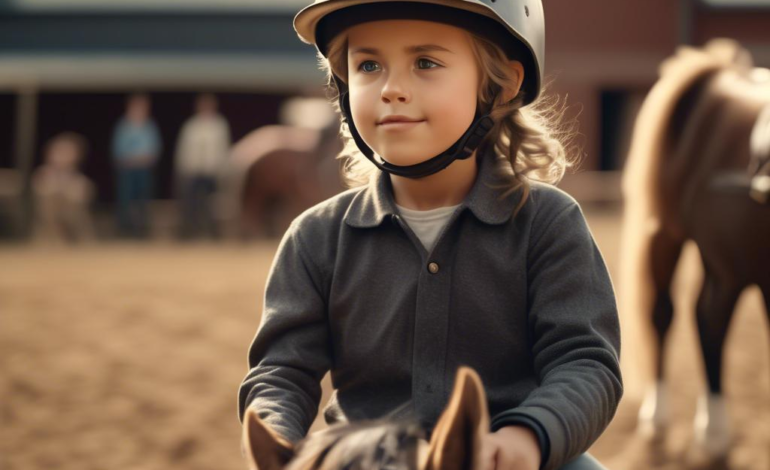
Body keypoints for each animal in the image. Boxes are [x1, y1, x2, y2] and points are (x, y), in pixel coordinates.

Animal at [616, 38, 768, 458]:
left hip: (725, 256)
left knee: (708, 315)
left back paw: (712, 431)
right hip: (668, 235)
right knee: (666, 314)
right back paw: (664, 422)